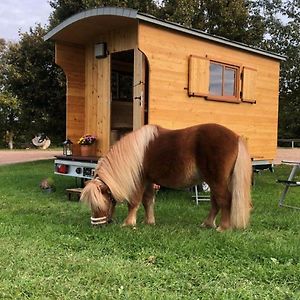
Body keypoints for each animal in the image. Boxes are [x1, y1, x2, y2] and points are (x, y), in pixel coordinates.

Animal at [79, 123, 251, 231]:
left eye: (100, 203)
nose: (97, 225)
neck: (136, 153)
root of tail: (236, 137)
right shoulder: (149, 181)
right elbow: (148, 201)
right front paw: (149, 222)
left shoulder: (139, 180)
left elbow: (134, 202)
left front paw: (128, 223)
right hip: (214, 181)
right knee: (216, 203)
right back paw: (207, 224)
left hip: (217, 180)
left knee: (224, 201)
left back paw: (223, 228)